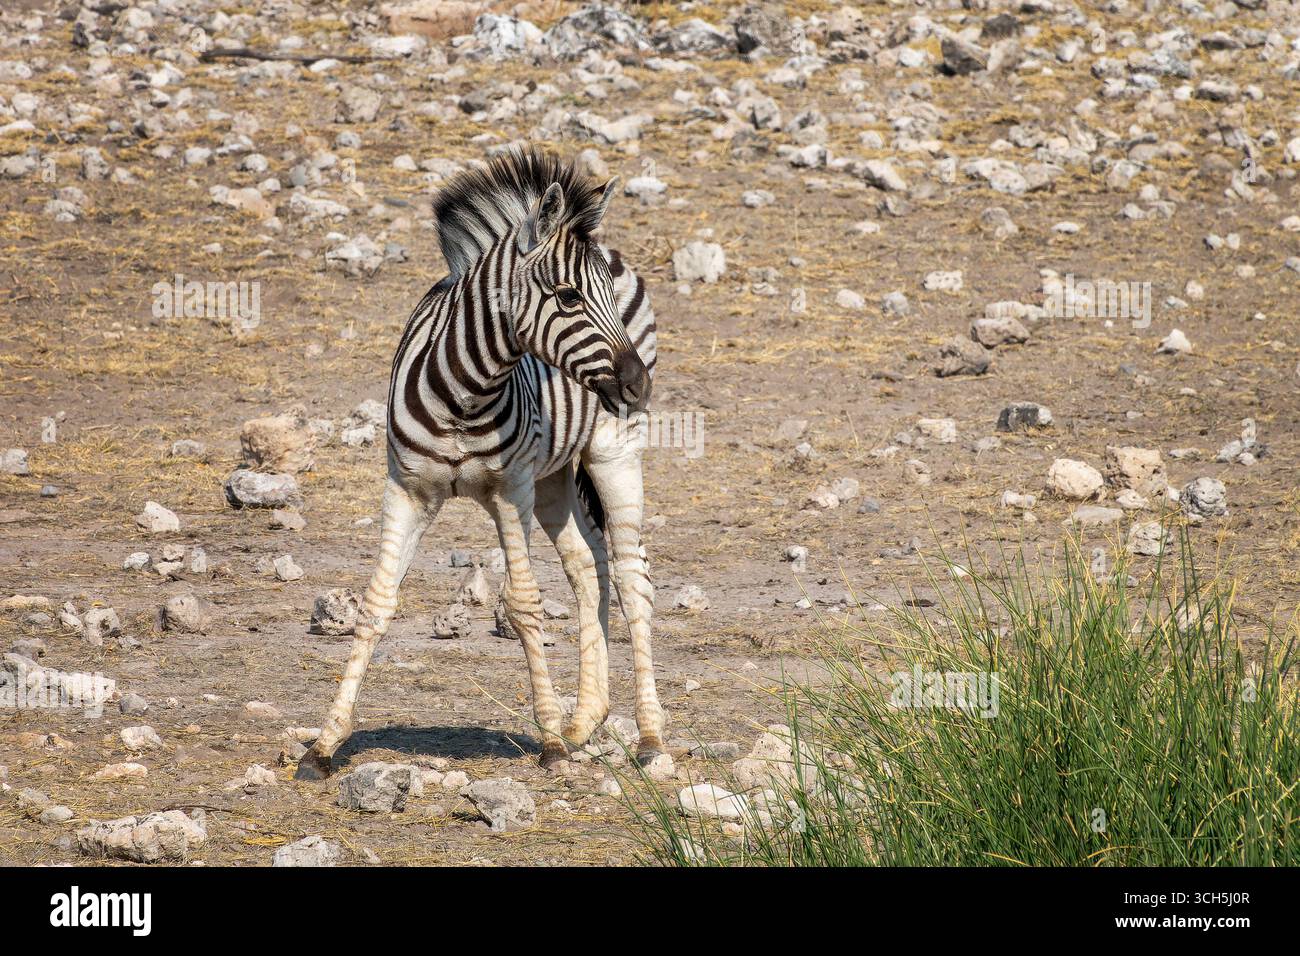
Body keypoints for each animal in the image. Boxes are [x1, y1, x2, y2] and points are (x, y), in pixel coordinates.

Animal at [295, 147, 665, 779]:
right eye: (568, 296)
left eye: (607, 299)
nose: (638, 385)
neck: (464, 393)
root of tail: (618, 249)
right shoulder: (407, 489)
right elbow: (376, 603)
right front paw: (324, 743)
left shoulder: (509, 491)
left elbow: (524, 605)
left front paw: (549, 742)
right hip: (554, 476)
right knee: (587, 565)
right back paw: (585, 719)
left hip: (612, 452)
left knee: (631, 577)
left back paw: (648, 737)